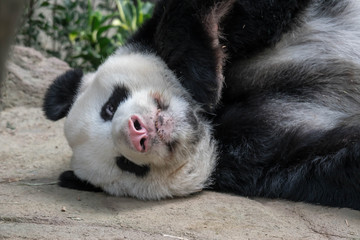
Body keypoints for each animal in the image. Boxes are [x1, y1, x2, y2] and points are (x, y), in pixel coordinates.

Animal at [44, 0, 360, 210]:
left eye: (110, 107)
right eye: (125, 164)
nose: (137, 132)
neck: (206, 120)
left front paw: (200, 77)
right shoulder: (249, 158)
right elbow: (325, 159)